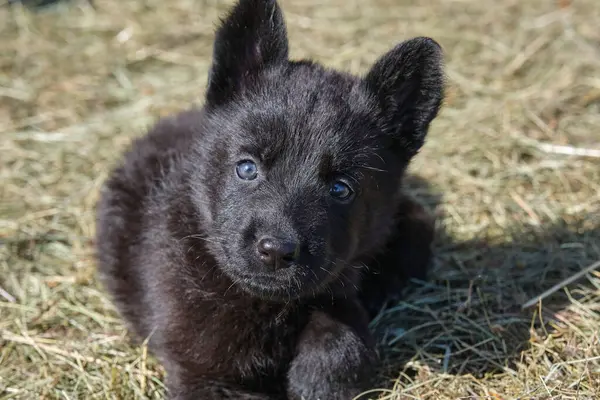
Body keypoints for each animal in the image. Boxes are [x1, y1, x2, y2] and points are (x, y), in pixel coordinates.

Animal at [95, 0, 446, 396]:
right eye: (247, 168)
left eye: (341, 189)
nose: (276, 251)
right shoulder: (205, 374)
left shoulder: (335, 288)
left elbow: (344, 330)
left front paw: (318, 378)